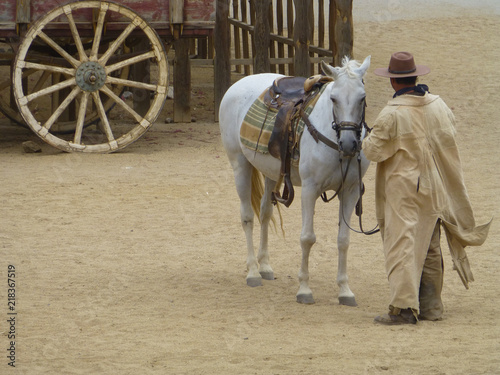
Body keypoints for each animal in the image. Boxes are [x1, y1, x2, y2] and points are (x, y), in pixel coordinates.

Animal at [219, 55, 372, 306]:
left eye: (362, 97)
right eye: (333, 98)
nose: (349, 143)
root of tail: (238, 83)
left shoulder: (350, 191)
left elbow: (344, 239)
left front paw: (344, 291)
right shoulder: (310, 189)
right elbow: (307, 238)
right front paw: (304, 290)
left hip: (272, 173)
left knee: (265, 213)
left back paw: (265, 266)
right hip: (240, 165)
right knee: (247, 217)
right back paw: (253, 272)